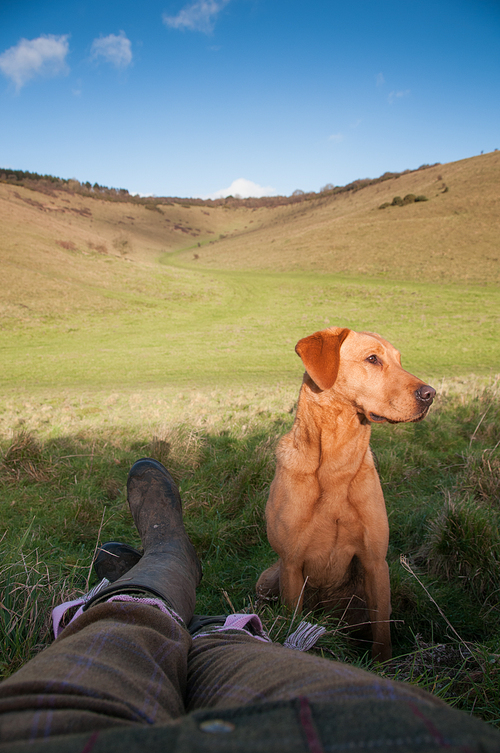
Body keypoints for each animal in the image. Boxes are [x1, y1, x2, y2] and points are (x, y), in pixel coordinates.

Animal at [256, 326, 436, 660]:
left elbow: (382, 630)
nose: (430, 394)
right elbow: (292, 617)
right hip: (268, 577)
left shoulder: (376, 562)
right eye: (372, 359)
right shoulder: (291, 564)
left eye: (400, 360)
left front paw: (383, 662)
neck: (335, 468)